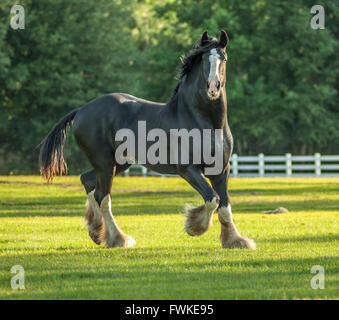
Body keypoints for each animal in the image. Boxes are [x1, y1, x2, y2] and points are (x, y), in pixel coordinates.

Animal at [39, 30, 255, 250]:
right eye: (203, 59)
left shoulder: (221, 169)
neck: (204, 121)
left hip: (117, 163)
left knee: (88, 182)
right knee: (103, 197)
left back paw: (96, 232)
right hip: (105, 163)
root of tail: (81, 110)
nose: (213, 88)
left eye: (224, 58)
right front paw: (195, 227)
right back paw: (119, 239)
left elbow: (224, 205)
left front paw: (235, 240)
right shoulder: (187, 169)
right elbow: (212, 199)